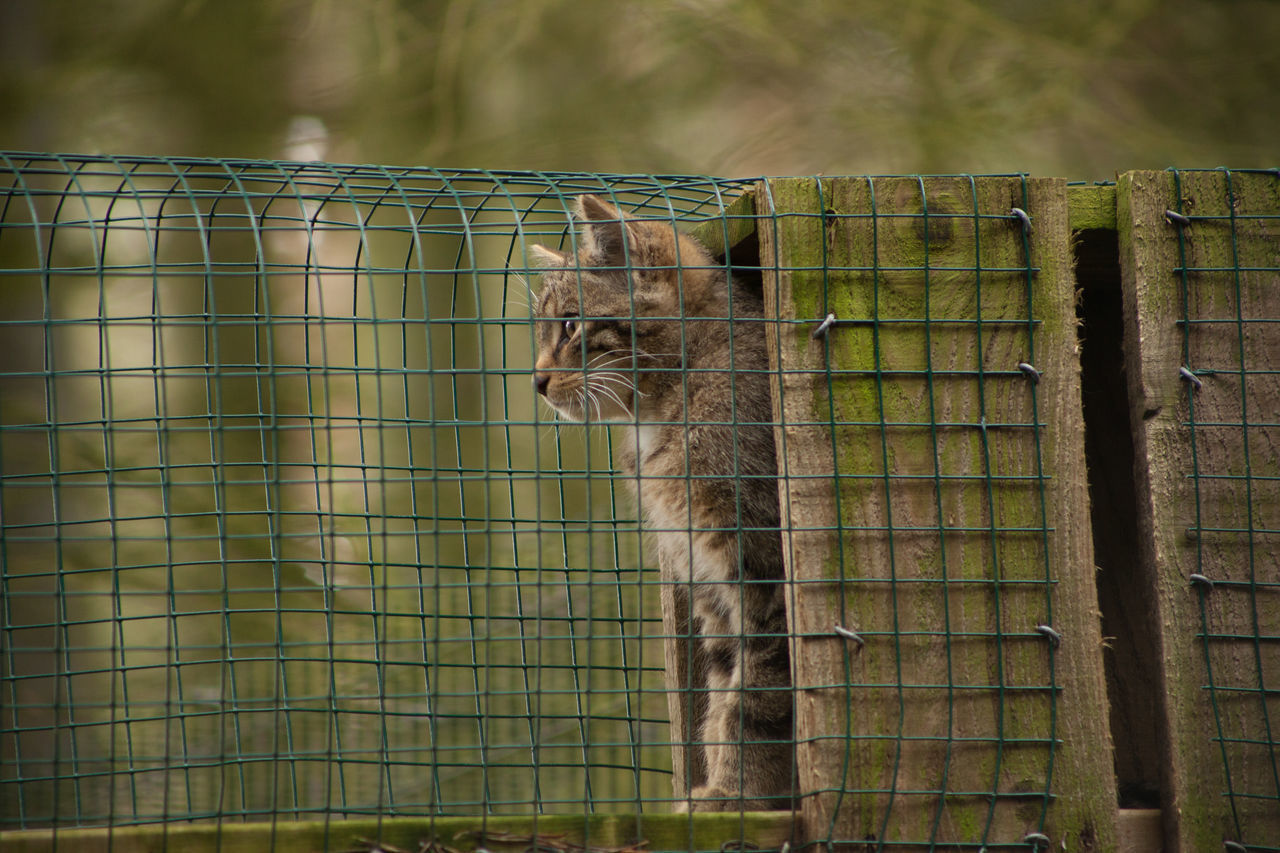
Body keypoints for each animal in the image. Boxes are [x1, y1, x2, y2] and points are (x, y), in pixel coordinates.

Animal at [527, 194, 788, 809]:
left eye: (570, 324)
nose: (536, 381)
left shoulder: (762, 570)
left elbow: (753, 696)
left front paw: (739, 794)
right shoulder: (709, 584)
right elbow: (722, 689)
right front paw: (720, 782)